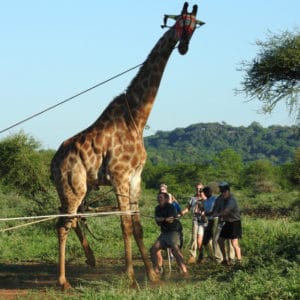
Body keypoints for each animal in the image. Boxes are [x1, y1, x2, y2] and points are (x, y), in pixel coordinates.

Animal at [50, 1, 203, 288]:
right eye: (181, 23)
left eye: (194, 26)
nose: (184, 47)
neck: (138, 118)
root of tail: (52, 164)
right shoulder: (119, 175)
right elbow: (125, 225)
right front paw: (131, 277)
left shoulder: (135, 177)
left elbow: (138, 226)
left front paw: (152, 275)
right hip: (73, 186)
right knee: (63, 223)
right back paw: (64, 281)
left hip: (78, 188)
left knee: (71, 218)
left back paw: (90, 259)